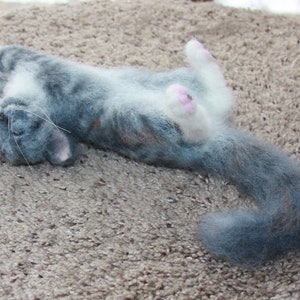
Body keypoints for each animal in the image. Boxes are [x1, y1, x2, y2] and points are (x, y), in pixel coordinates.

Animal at [0, 39, 298, 268]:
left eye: (13, 129)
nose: (7, 117)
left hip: (152, 79)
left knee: (218, 97)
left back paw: (197, 57)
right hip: (143, 121)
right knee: (201, 122)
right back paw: (183, 100)